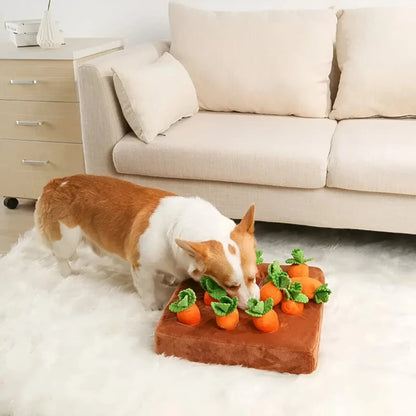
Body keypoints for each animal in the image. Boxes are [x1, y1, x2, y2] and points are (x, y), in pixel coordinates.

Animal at [35, 175, 260, 308]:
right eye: (231, 285)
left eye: (254, 277)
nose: (255, 303)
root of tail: (55, 183)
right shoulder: (141, 268)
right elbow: (148, 291)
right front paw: (154, 308)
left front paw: (169, 279)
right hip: (67, 239)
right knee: (61, 257)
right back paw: (68, 274)